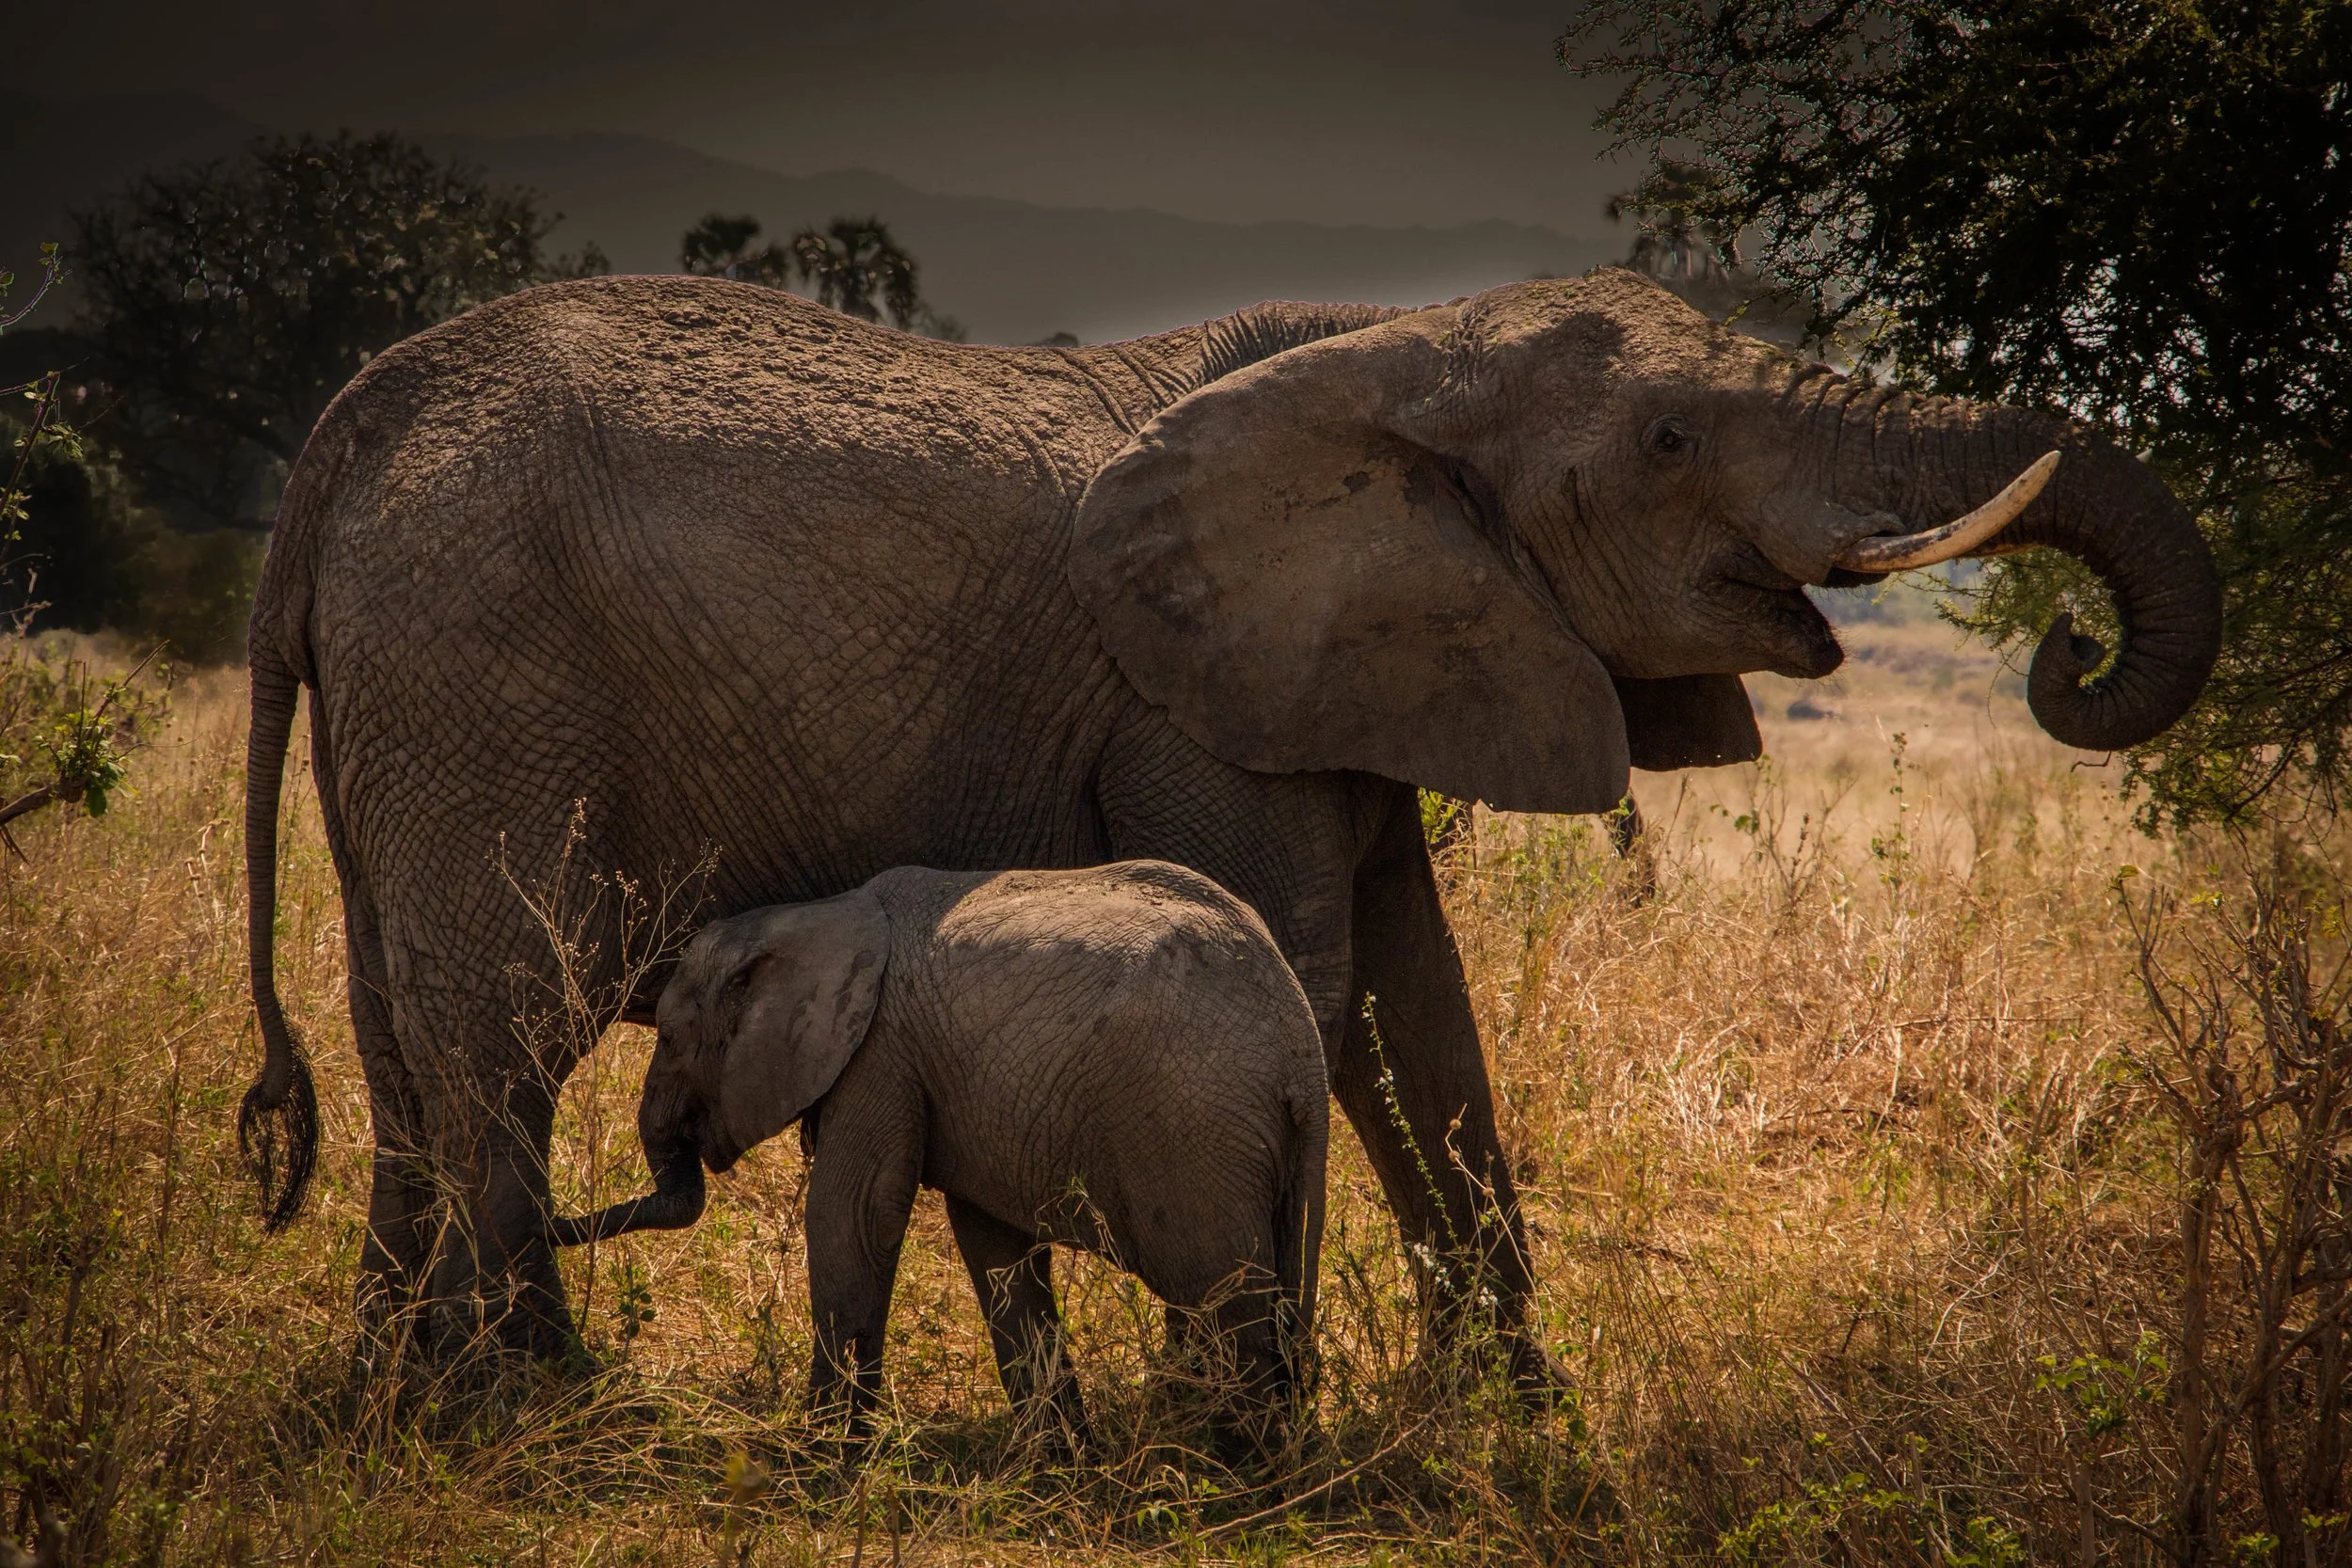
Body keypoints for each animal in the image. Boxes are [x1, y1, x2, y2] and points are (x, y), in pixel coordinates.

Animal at [237, 266, 2220, 1366]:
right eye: (1669, 441)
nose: (2063, 647)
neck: (1407, 347)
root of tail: (343, 432)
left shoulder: (1368, 658)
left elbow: (1423, 1015)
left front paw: (1510, 1424)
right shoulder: (1194, 697)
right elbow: (1325, 991)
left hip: (414, 698)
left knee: (404, 1043)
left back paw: (399, 1414)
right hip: (485, 666)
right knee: (503, 1026)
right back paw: (538, 1403)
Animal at [548, 860, 1329, 1440]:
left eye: (669, 1036)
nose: (554, 1221)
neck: (813, 915)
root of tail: (1301, 1054)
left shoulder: (880, 1053)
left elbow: (854, 1214)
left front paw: (820, 1458)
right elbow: (993, 1244)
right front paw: (1059, 1459)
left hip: (1195, 1131)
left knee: (1227, 1307)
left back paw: (1239, 1474)